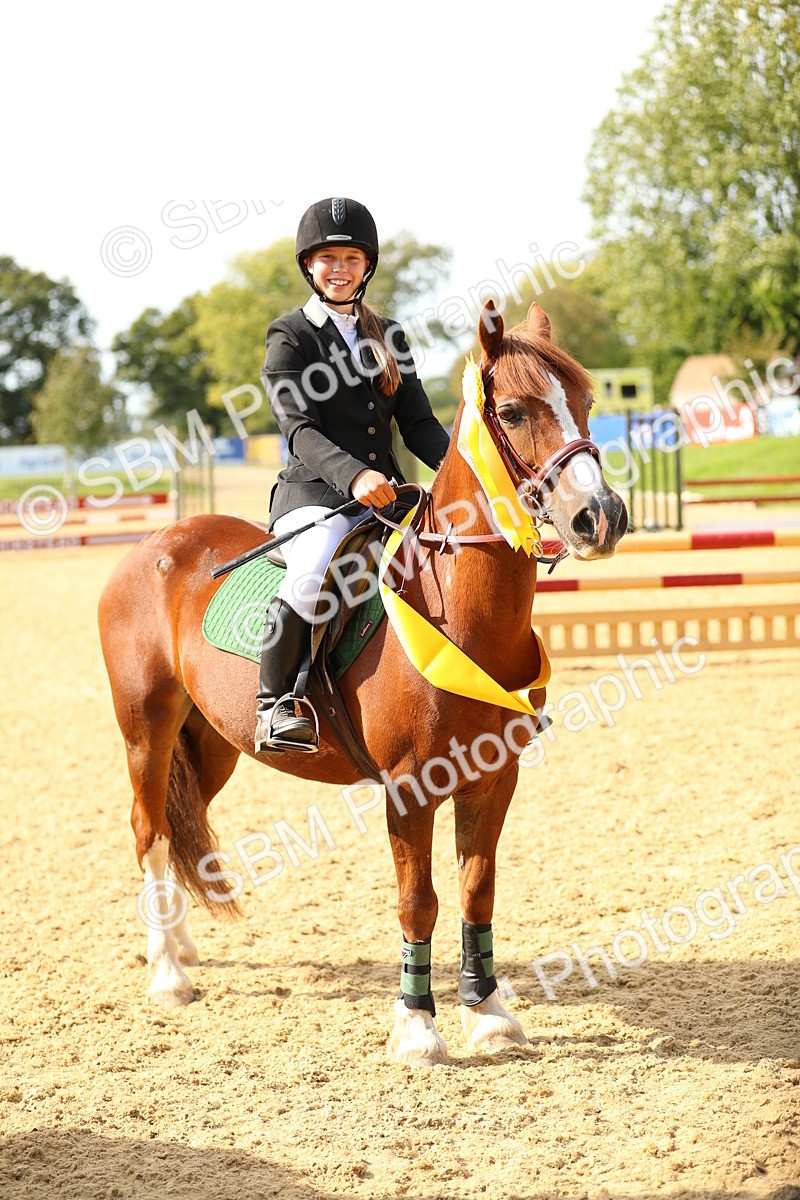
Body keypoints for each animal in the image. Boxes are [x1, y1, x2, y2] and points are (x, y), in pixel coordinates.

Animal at [98, 301, 627, 1067]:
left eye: (586, 403)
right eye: (513, 410)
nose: (601, 518)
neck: (458, 610)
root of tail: (154, 544)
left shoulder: (493, 779)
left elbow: (477, 892)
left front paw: (489, 1013)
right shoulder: (411, 788)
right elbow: (419, 900)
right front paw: (418, 1027)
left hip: (213, 743)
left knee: (174, 823)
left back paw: (181, 946)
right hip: (147, 726)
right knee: (148, 830)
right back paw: (167, 972)